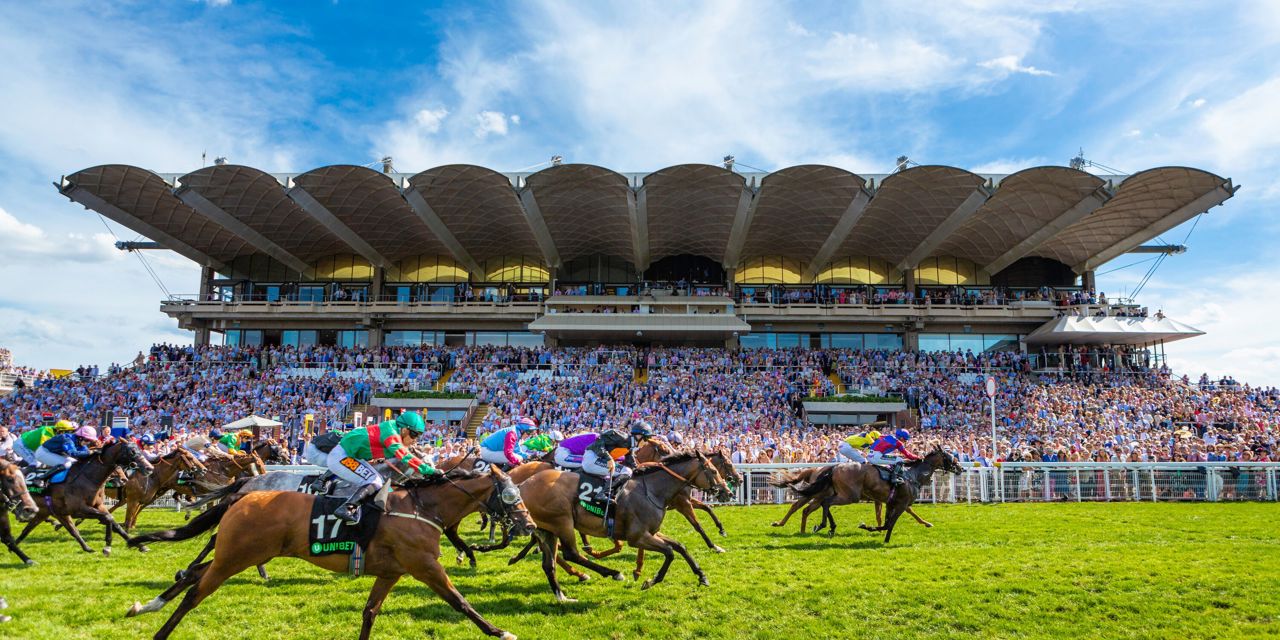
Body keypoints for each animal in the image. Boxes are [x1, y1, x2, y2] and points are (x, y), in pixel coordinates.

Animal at [13, 440, 153, 555]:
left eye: (140, 450)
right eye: (132, 452)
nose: (149, 467)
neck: (88, 478)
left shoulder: (97, 506)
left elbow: (114, 523)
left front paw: (140, 545)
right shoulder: (78, 510)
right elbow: (107, 518)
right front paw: (107, 545)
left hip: (45, 512)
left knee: (28, 530)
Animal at [127, 465, 532, 640]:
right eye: (511, 494)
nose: (528, 524)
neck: (421, 507)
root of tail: (243, 495)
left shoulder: (392, 572)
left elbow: (370, 613)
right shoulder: (424, 566)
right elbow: (460, 602)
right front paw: (500, 632)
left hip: (239, 554)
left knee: (194, 574)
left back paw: (147, 605)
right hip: (235, 556)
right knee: (195, 592)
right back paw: (160, 629)